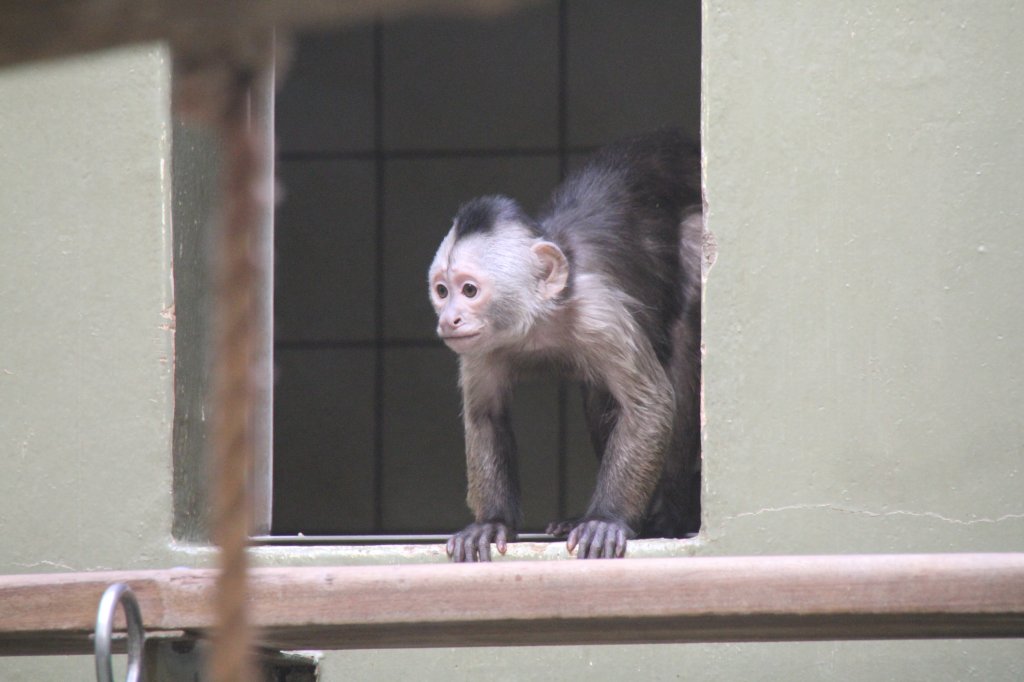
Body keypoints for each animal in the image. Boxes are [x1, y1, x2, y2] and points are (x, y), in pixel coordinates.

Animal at [425, 127, 704, 557]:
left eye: (469, 290)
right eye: (442, 290)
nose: (448, 319)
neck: (540, 316)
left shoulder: (599, 312)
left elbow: (649, 404)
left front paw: (606, 519)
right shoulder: (480, 347)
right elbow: (486, 416)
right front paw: (491, 523)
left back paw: (669, 517)